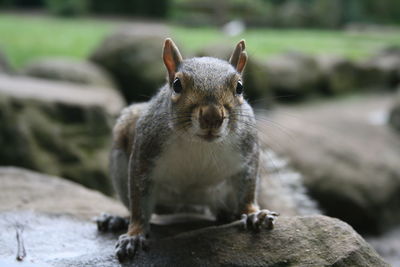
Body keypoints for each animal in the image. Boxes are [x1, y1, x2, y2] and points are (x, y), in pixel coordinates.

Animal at [98, 38, 318, 262]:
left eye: (239, 87)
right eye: (176, 85)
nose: (212, 117)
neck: (201, 144)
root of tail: (192, 204)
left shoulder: (249, 154)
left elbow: (248, 191)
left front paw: (254, 213)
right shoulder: (144, 153)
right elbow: (139, 204)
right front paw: (134, 234)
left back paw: (229, 215)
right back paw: (117, 219)